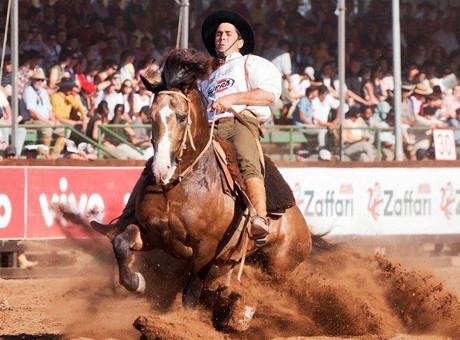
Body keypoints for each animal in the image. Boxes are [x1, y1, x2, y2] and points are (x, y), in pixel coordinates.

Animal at [95, 49, 314, 330]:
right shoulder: (151, 233)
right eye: (151, 116)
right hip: (233, 261)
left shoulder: (206, 250)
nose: (160, 169)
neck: (178, 188)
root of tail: (300, 222)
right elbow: (121, 244)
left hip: (279, 266)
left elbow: (190, 294)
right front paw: (137, 282)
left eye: (181, 117)